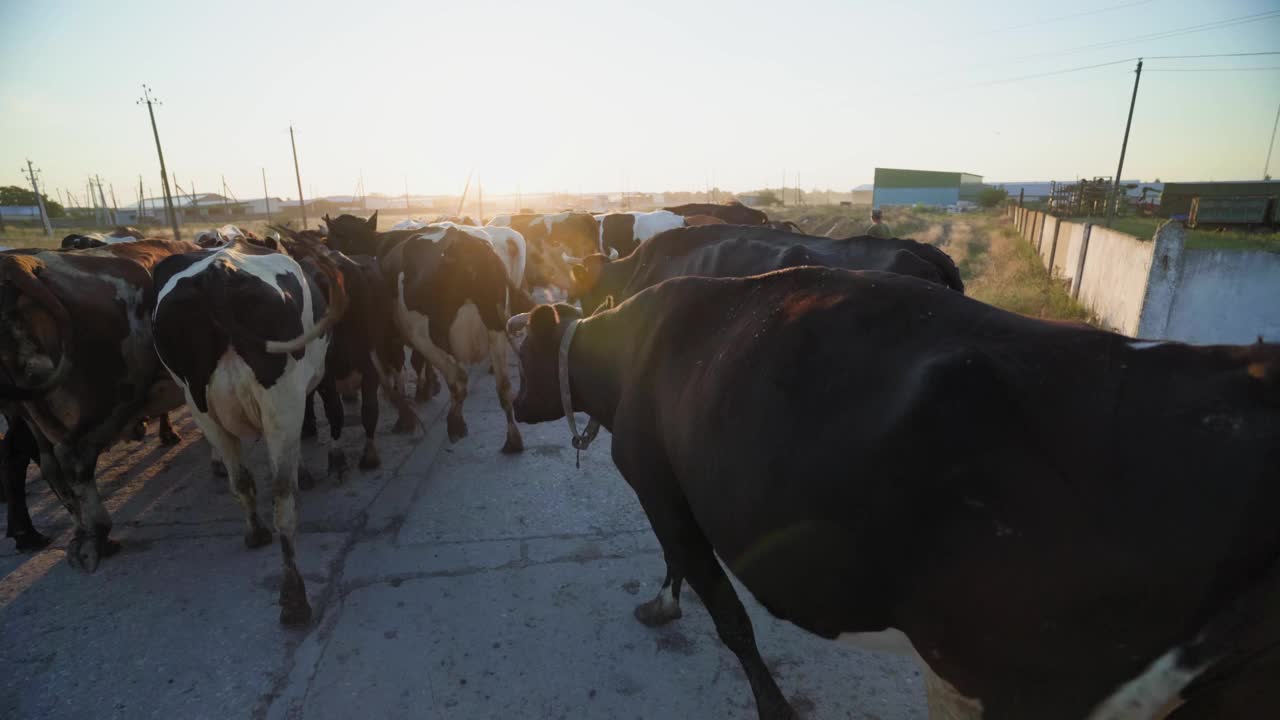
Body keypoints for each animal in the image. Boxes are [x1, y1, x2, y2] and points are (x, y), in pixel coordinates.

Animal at [151, 239, 345, 622]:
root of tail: (218, 272)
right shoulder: (319, 378)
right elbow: (327, 416)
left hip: (200, 405)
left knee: (240, 479)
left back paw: (255, 532)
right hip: (280, 395)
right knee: (282, 496)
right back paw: (294, 597)